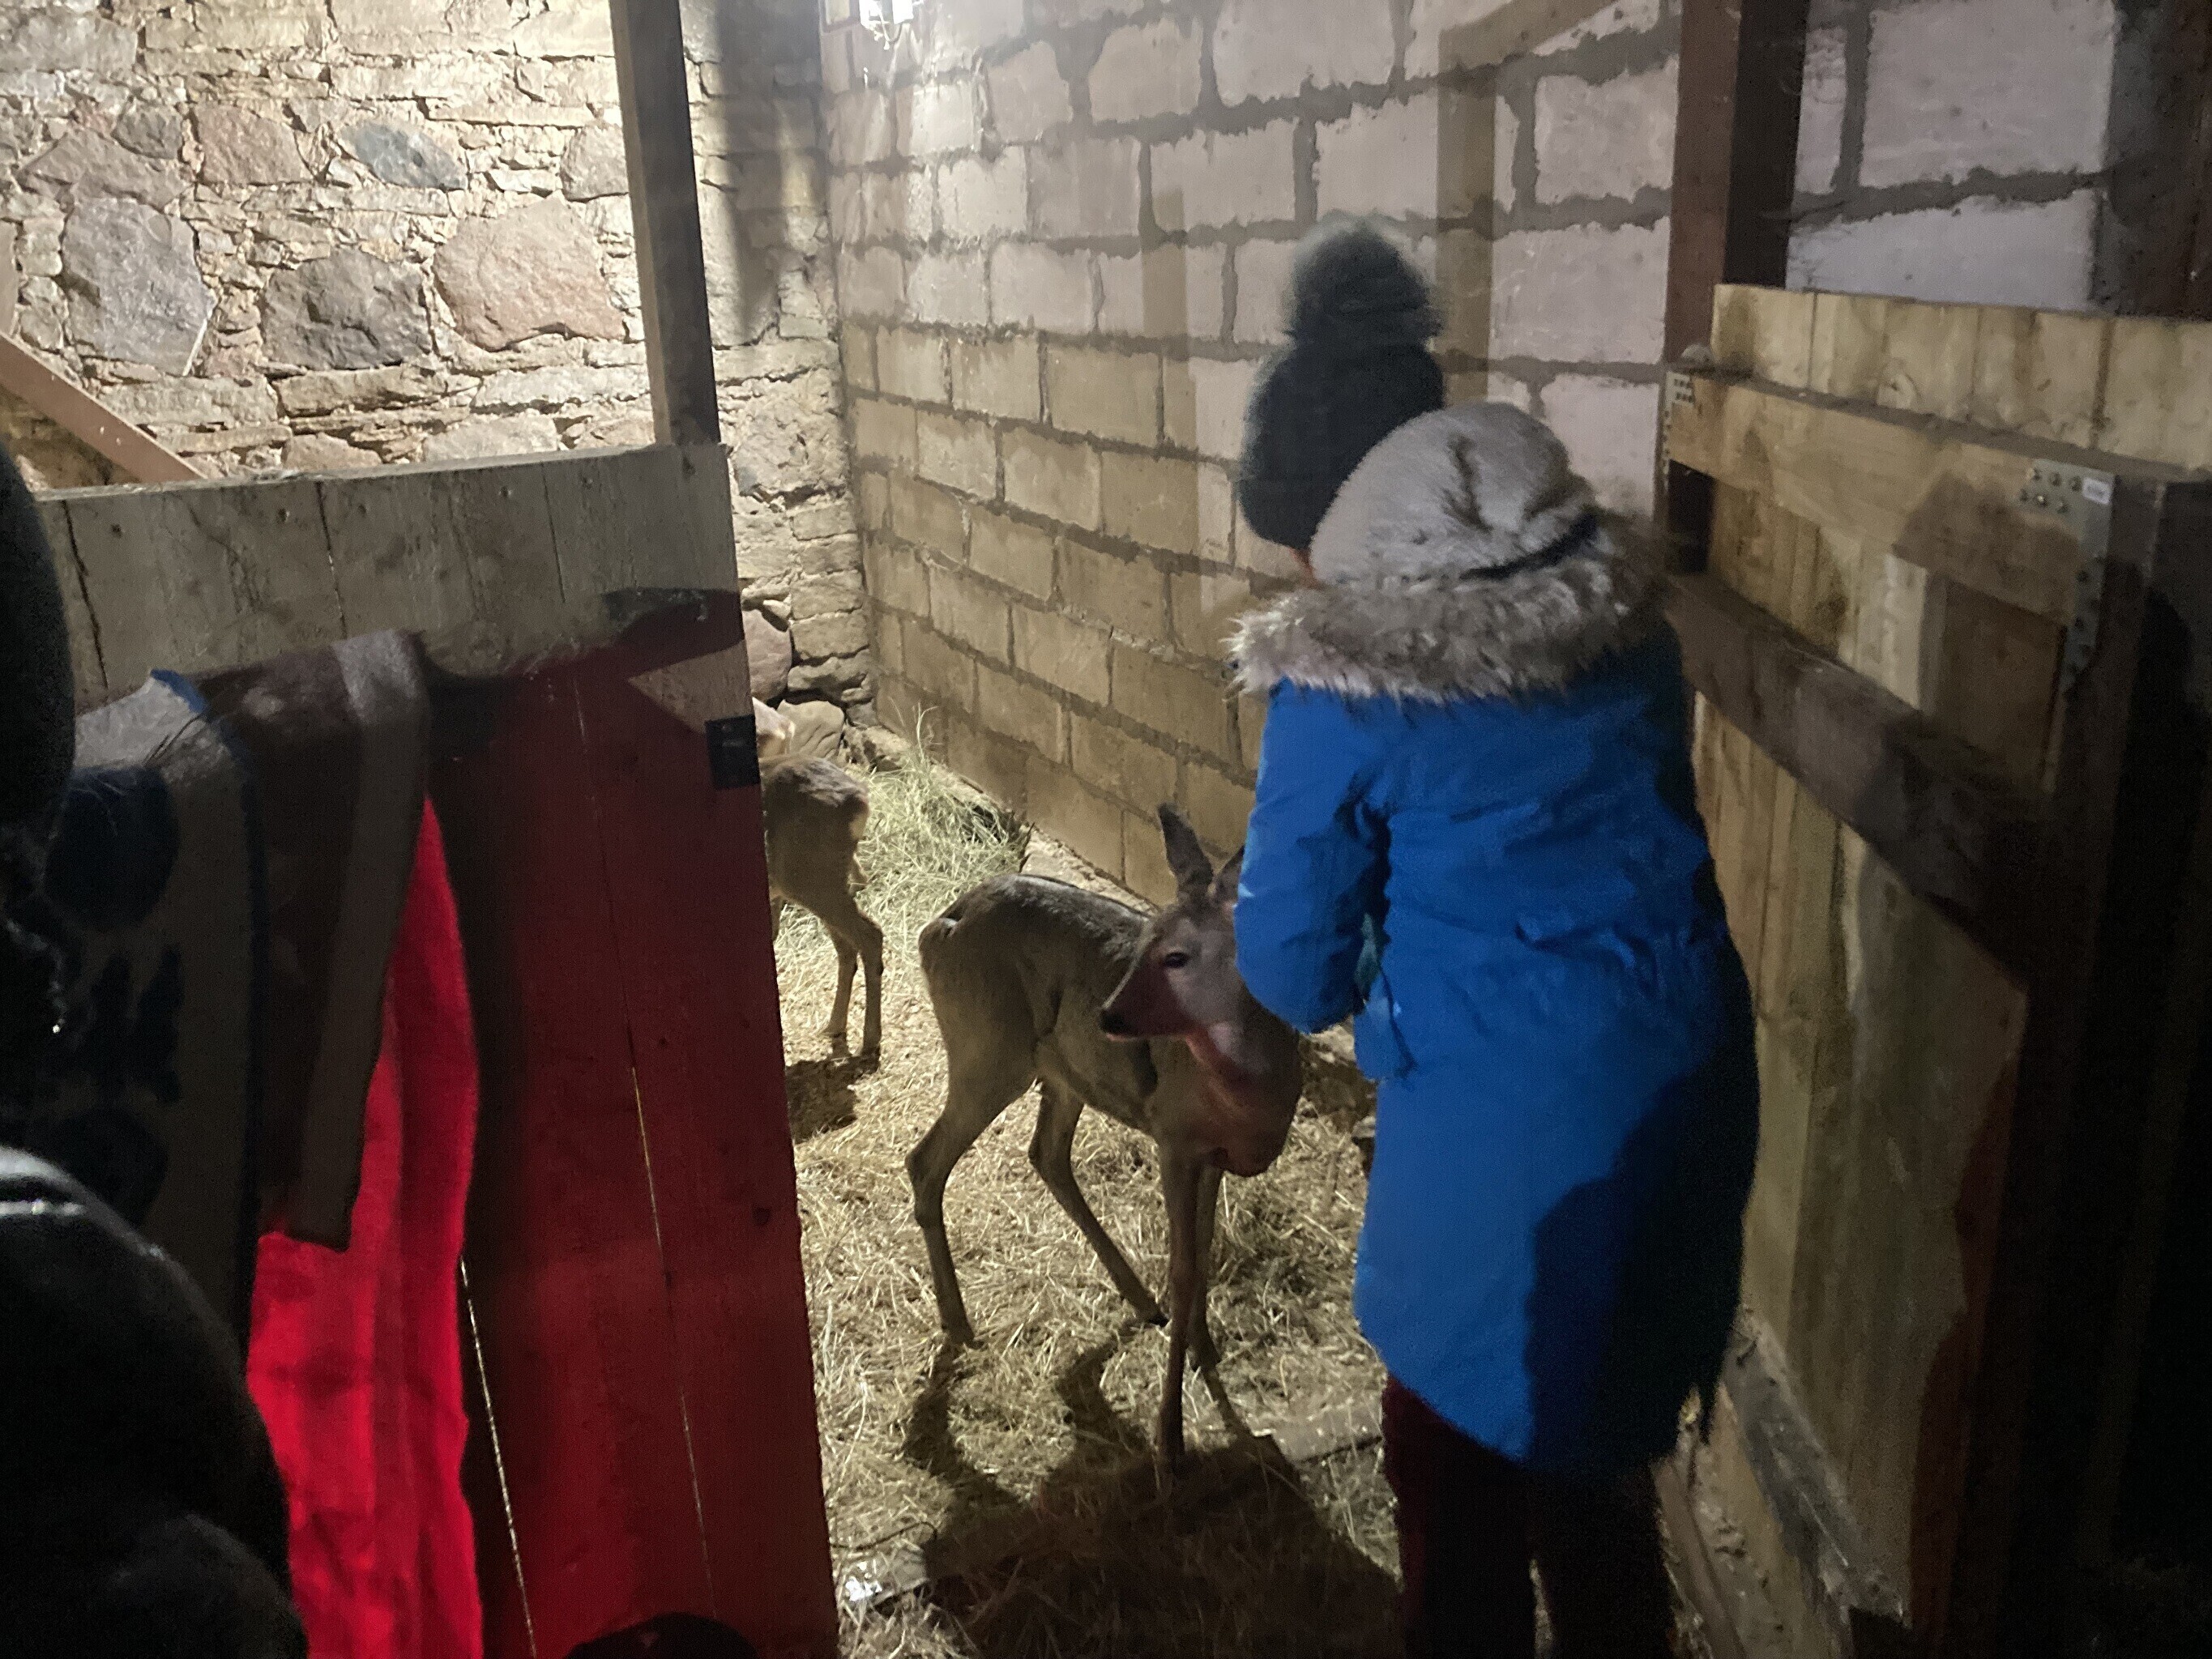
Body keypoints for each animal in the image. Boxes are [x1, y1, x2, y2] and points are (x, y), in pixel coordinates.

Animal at [755, 699, 882, 1058]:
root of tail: (860, 802)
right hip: (819, 882)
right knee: (847, 946)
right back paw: (835, 1028)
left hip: (812, 878)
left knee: (870, 936)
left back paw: (869, 1040)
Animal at [908, 804, 1303, 1472]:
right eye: (1143, 944)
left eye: (1178, 956)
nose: (1109, 1015)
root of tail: (940, 926)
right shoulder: (1175, 1136)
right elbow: (1185, 1266)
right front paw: (1171, 1439)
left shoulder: (1213, 1155)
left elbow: (1205, 1250)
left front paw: (1205, 1348)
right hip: (987, 1049)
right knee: (925, 1160)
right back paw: (959, 1323)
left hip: (1060, 1071)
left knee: (1045, 1151)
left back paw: (1139, 1300)